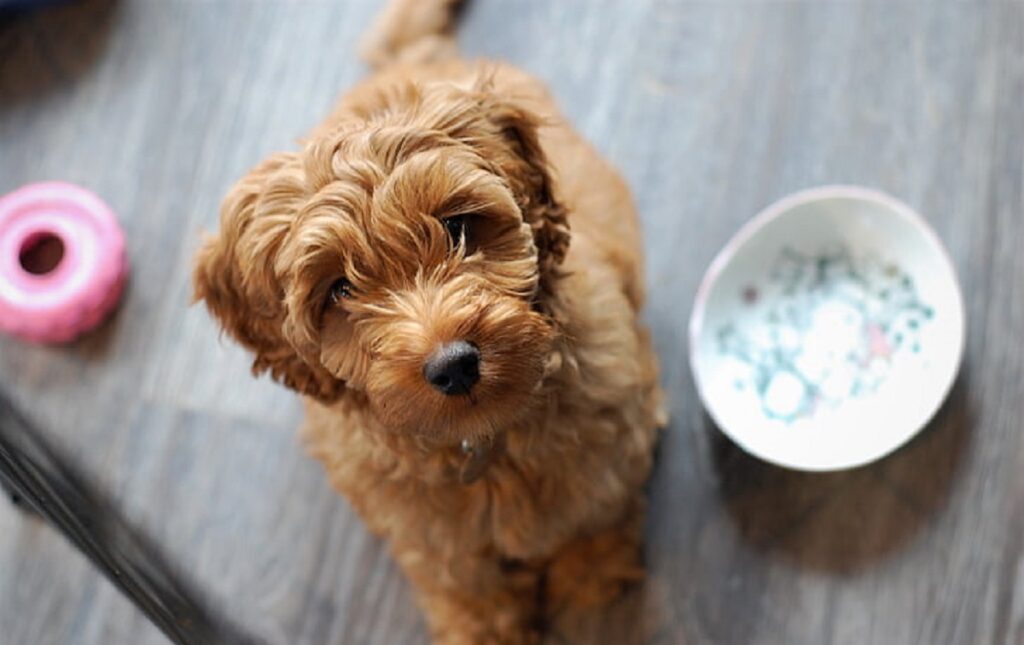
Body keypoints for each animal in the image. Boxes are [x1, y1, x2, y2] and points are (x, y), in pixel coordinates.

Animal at [195, 2, 667, 642]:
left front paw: (590, 575)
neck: (485, 444)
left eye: (458, 227)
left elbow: (594, 510)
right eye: (339, 289)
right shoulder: (417, 523)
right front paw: (484, 628)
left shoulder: (608, 437)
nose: (454, 365)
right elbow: (458, 574)